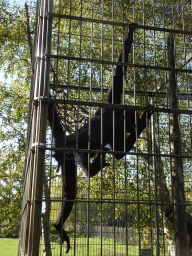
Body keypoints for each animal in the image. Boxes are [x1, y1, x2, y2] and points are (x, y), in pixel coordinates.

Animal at [47, 23, 152, 252]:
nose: (130, 121)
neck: (117, 118)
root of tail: (64, 141)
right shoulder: (109, 108)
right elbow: (118, 75)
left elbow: (119, 153)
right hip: (71, 151)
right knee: (83, 161)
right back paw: (94, 166)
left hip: (64, 159)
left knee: (70, 193)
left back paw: (58, 225)